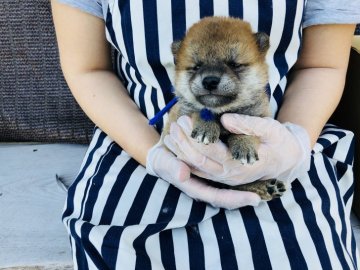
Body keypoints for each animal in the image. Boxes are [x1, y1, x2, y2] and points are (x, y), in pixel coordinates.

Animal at [165, 15, 286, 199]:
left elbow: (246, 129)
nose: (210, 81)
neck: (222, 112)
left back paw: (267, 187)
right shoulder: (181, 115)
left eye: (234, 64)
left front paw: (244, 145)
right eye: (197, 66)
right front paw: (206, 127)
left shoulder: (258, 117)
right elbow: (199, 111)